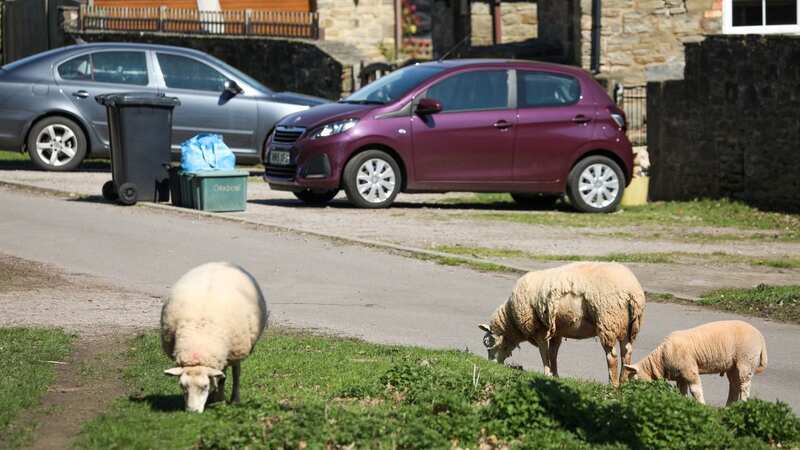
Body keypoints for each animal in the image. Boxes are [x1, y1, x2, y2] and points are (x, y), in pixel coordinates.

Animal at [161, 262, 270, 414]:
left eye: (205, 386)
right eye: (182, 386)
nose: (192, 412)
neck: (199, 339)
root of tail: (221, 262)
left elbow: (223, 378)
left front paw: (220, 401)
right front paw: (214, 399)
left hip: (236, 350)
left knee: (236, 372)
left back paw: (234, 399)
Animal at [482, 262, 644, 384]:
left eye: (491, 345)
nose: (490, 365)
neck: (512, 322)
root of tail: (632, 291)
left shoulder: (539, 330)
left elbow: (544, 352)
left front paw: (547, 373)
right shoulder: (557, 331)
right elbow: (553, 353)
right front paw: (555, 375)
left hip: (608, 321)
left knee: (612, 357)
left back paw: (613, 384)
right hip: (628, 326)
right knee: (626, 352)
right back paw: (623, 382)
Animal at [620, 318, 764, 406]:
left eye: (635, 379)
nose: (632, 396)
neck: (660, 360)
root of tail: (760, 337)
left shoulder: (689, 370)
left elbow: (695, 390)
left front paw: (702, 406)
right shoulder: (680, 375)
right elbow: (682, 391)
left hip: (746, 358)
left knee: (744, 385)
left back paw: (742, 404)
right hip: (732, 365)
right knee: (734, 384)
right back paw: (729, 406)